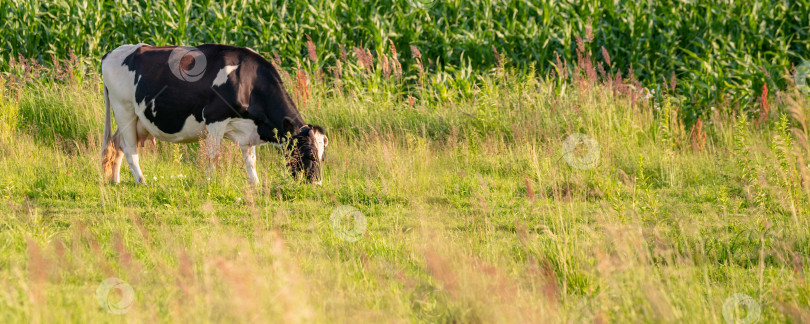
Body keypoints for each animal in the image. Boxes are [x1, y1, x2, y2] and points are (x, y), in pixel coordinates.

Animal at [99, 43, 326, 185]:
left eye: (322, 157)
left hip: (138, 119)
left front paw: (255, 184)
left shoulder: (247, 129)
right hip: (124, 109)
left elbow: (250, 160)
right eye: (308, 154)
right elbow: (212, 155)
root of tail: (112, 52)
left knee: (117, 144)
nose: (317, 183)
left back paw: (115, 180)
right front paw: (210, 182)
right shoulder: (215, 119)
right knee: (129, 149)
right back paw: (141, 181)